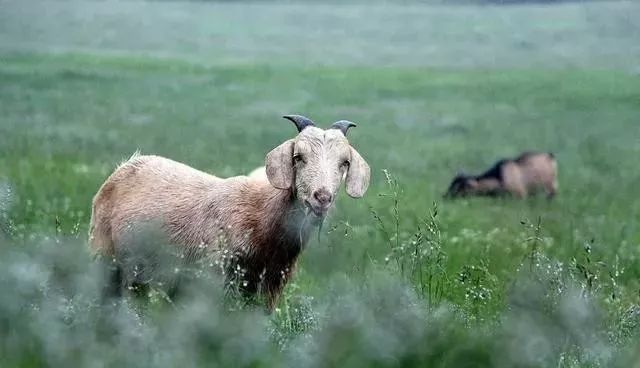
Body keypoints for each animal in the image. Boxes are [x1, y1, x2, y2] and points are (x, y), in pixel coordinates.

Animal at [89, 115, 370, 310]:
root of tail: (125, 166)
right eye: (298, 157)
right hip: (104, 256)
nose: (322, 197)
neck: (261, 216)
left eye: (344, 163)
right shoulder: (214, 277)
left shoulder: (269, 289)